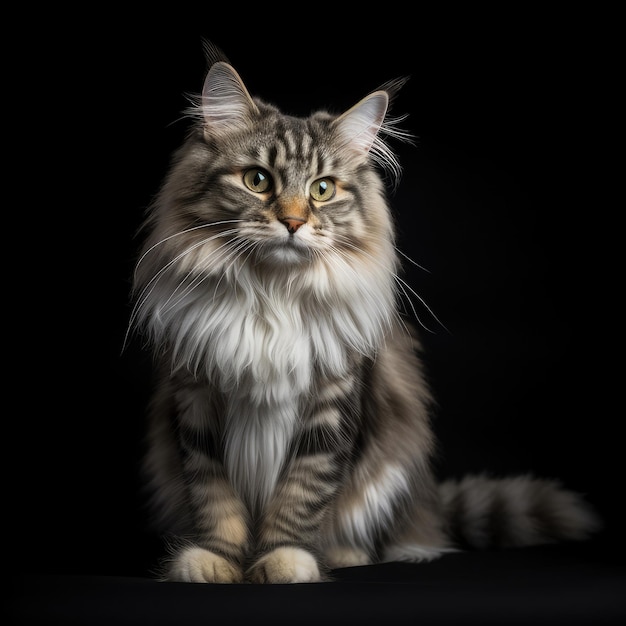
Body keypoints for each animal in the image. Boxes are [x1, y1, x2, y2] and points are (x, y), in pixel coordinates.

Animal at [128, 41, 600, 584]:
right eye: (257, 180)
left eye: (322, 189)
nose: (293, 222)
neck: (272, 294)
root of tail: (428, 507)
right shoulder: (197, 398)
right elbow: (214, 497)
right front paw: (214, 561)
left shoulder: (332, 402)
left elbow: (301, 495)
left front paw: (285, 560)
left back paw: (344, 555)